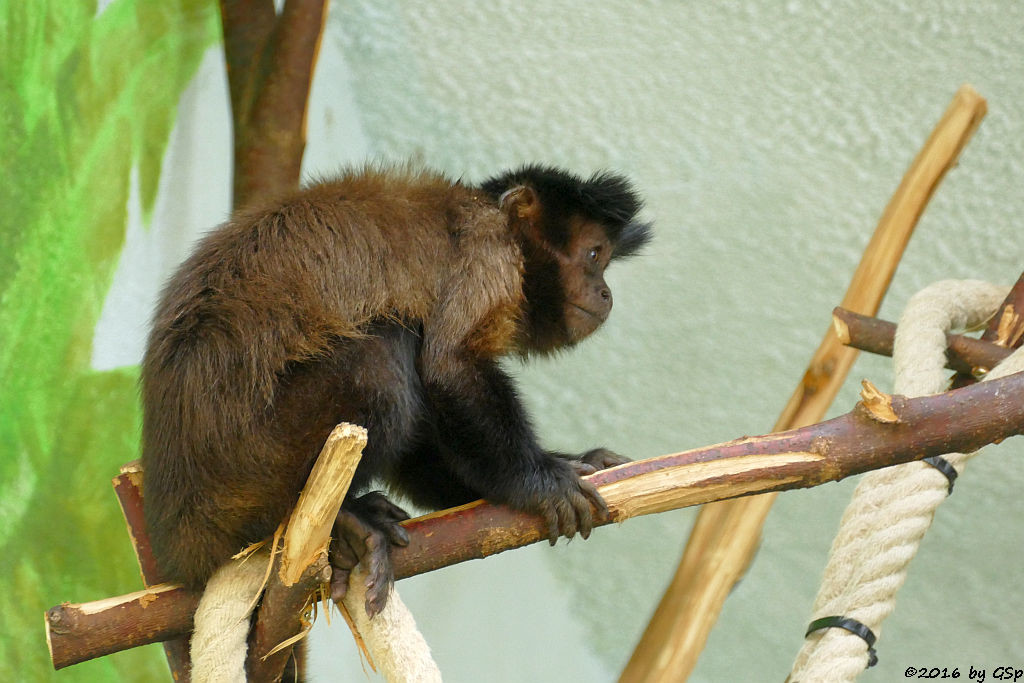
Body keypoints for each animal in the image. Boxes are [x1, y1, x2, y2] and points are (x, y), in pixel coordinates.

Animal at [140, 162, 651, 618]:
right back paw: (337, 519)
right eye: (594, 255)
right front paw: (539, 482)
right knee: (385, 351)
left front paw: (575, 461)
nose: (605, 293)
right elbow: (449, 367)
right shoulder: (489, 253)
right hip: (251, 466)